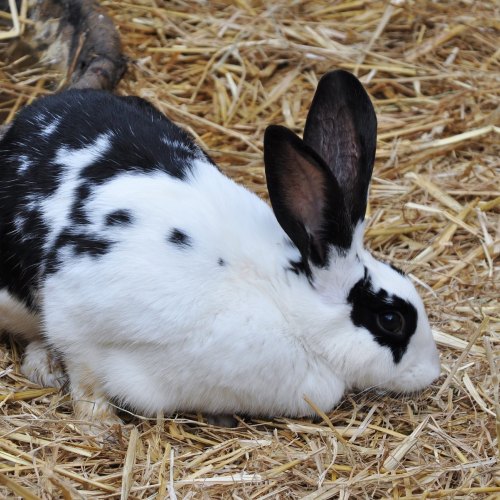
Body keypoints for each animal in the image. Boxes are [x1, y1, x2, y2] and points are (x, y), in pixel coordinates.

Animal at [0, 71, 438, 430]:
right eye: (391, 320)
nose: (431, 372)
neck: (282, 302)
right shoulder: (77, 316)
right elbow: (86, 378)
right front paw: (100, 427)